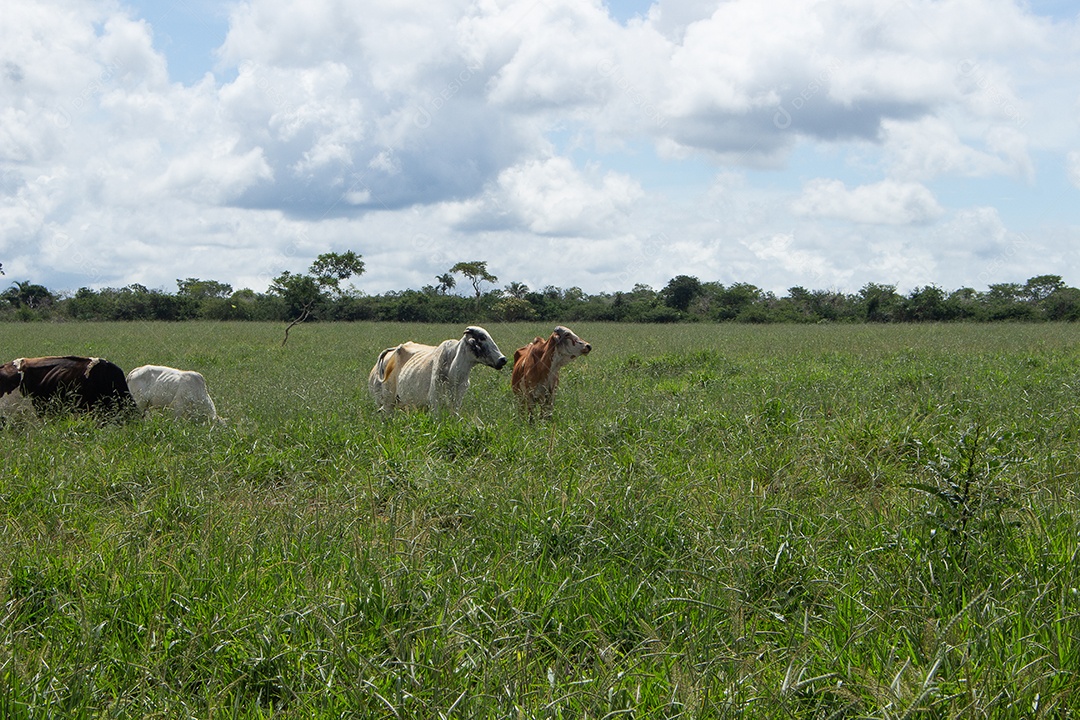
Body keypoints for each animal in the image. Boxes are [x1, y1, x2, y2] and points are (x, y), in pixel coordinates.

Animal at [368, 326, 507, 413]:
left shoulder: (456, 403)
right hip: (387, 403)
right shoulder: (435, 403)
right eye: (482, 338)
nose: (502, 359)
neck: (454, 373)